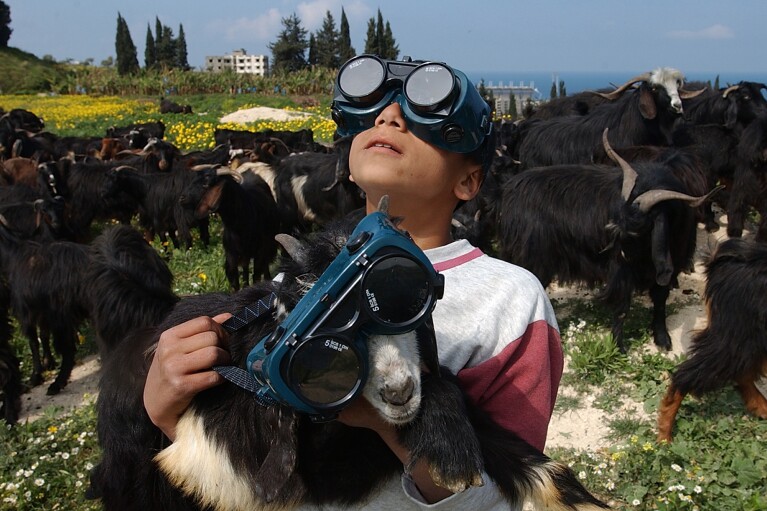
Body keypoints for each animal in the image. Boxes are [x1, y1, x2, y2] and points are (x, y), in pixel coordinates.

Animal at [500, 131, 712, 352]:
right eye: (615, 220)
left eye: (638, 227)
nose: (609, 250)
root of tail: (511, 190)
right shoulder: (622, 273)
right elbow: (622, 307)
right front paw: (619, 347)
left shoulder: (669, 265)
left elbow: (660, 300)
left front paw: (662, 338)